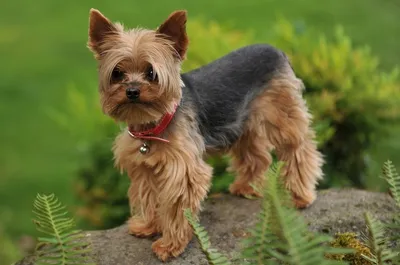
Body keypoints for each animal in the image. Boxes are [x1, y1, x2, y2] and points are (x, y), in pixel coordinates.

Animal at [86, 8, 322, 260]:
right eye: (117, 73)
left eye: (151, 73)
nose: (131, 91)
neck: (153, 124)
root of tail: (277, 50)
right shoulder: (143, 167)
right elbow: (148, 195)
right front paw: (148, 226)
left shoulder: (183, 170)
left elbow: (177, 207)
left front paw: (169, 245)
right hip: (242, 121)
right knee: (256, 153)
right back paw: (247, 188)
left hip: (281, 113)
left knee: (298, 148)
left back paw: (299, 196)